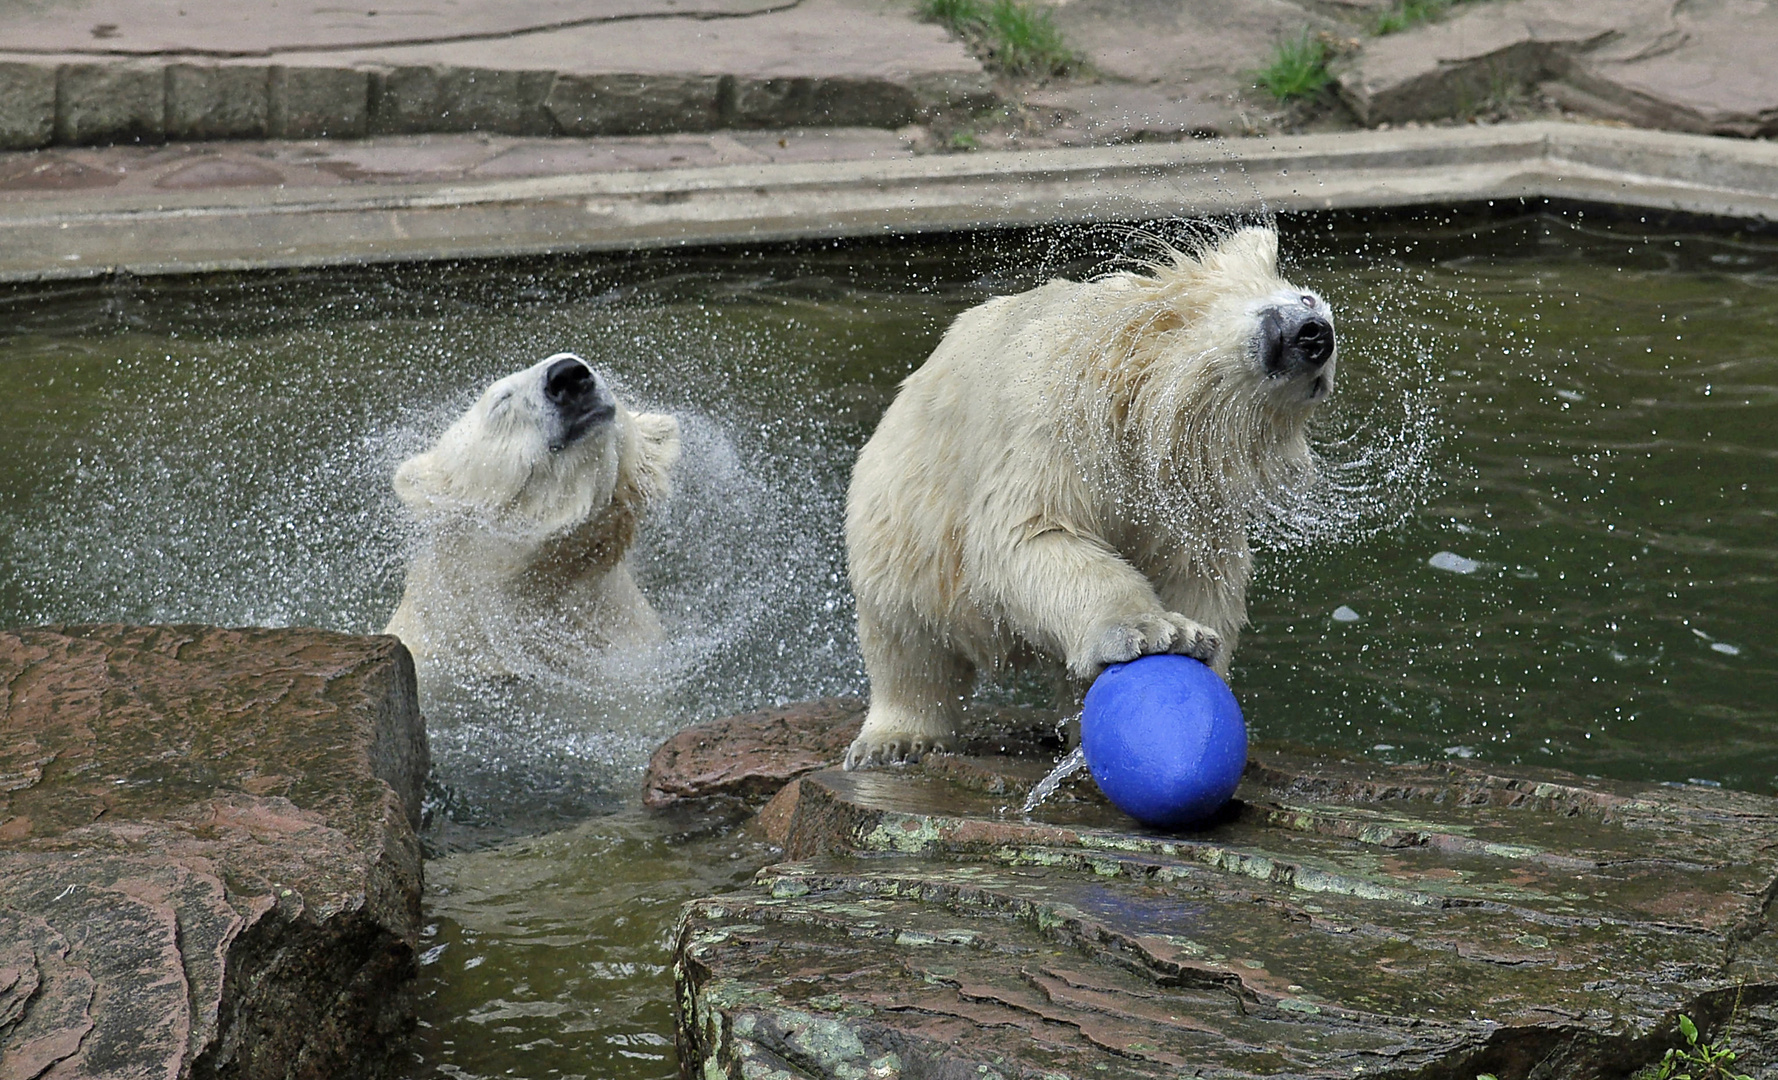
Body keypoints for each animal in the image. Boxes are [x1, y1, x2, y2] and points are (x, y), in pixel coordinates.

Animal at [842, 225, 1337, 768]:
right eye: (1306, 298)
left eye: (1320, 385)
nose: (1318, 335)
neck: (1146, 395)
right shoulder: (1062, 407)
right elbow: (1035, 532)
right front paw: (1153, 630)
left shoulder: (1188, 485)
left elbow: (1198, 571)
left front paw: (1196, 644)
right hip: (902, 518)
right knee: (908, 636)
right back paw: (896, 739)